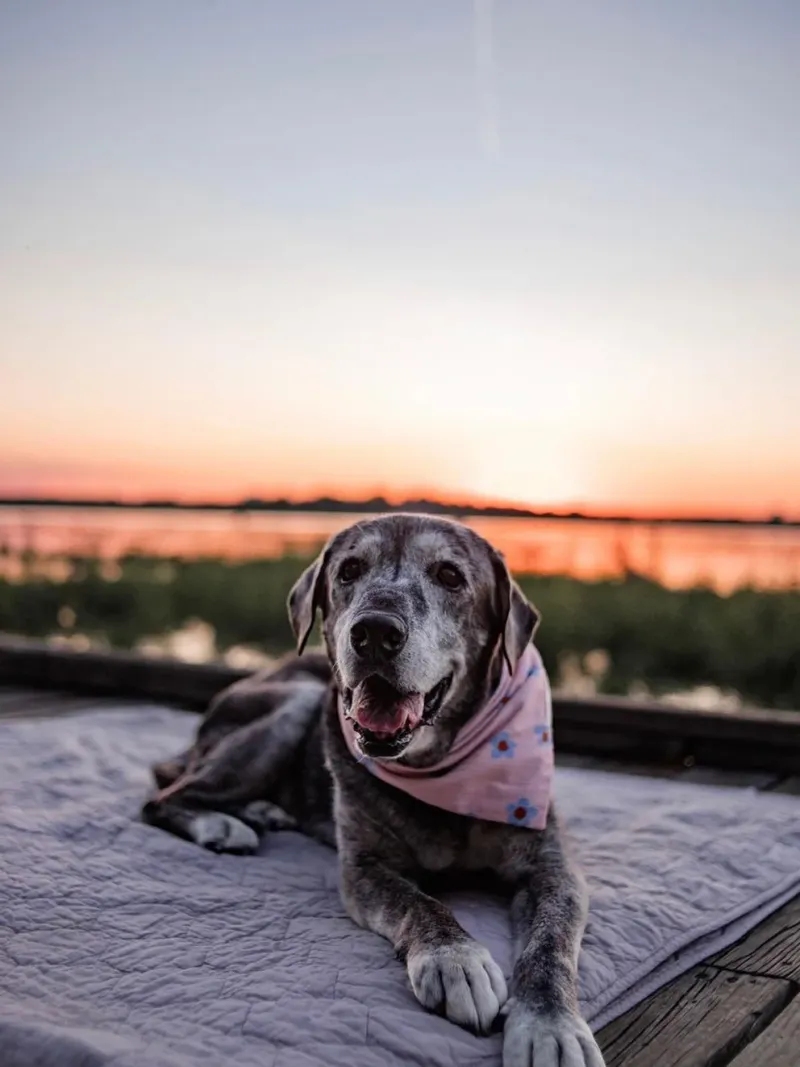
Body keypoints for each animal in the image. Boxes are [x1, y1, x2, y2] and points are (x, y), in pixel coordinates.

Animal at [144, 512, 605, 1062]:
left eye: (450, 575)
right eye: (349, 570)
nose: (376, 632)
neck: (440, 767)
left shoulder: (554, 870)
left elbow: (551, 944)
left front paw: (548, 1024)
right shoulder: (364, 868)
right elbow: (418, 902)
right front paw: (455, 959)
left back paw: (261, 811)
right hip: (296, 702)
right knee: (163, 797)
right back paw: (223, 823)